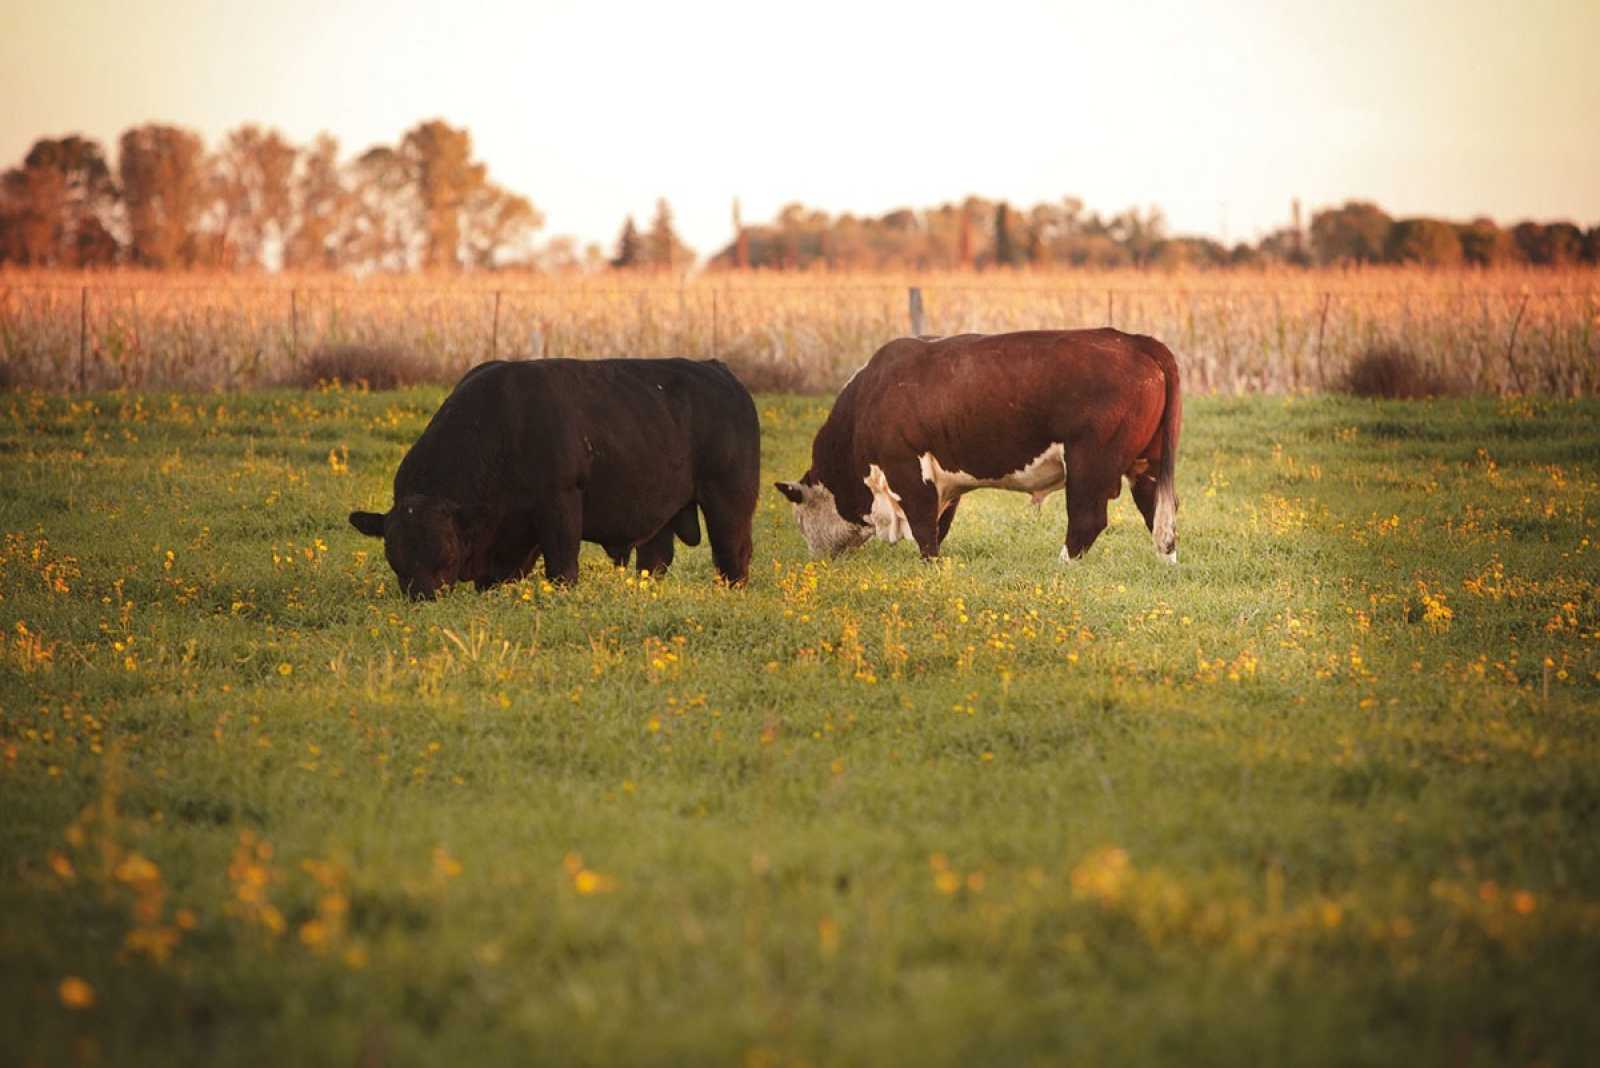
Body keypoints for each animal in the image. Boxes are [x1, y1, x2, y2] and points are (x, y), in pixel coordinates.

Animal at [355, 356, 761, 591]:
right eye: (396, 559)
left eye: (446, 555)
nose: (423, 600)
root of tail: (717, 368)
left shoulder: (559, 504)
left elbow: (562, 568)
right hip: (661, 513)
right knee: (655, 559)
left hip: (729, 502)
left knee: (732, 558)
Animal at [774, 330, 1190, 565]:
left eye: (799, 520)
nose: (816, 560)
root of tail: (1133, 341)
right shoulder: (943, 482)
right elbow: (939, 524)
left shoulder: (906, 469)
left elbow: (924, 527)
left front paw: (930, 566)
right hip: (1146, 464)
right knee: (1159, 512)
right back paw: (1166, 562)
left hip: (1090, 463)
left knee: (1088, 519)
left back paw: (1062, 565)